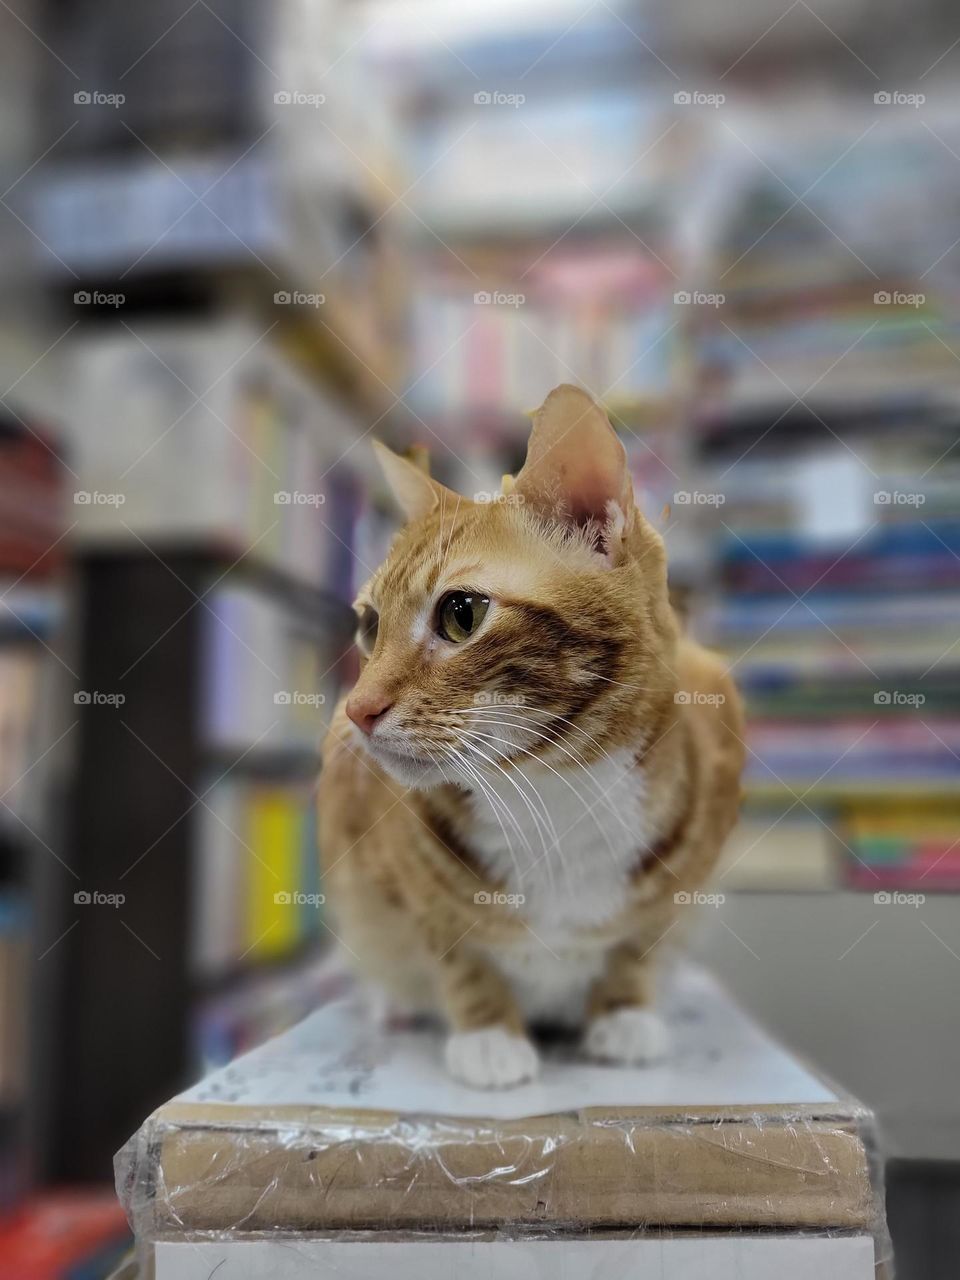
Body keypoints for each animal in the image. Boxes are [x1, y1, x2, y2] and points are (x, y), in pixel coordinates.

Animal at [320, 384, 747, 1085]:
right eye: (368, 625)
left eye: (461, 614)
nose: (358, 709)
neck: (556, 797)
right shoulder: (405, 881)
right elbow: (459, 954)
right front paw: (488, 1033)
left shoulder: (681, 881)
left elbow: (638, 943)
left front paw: (623, 1013)